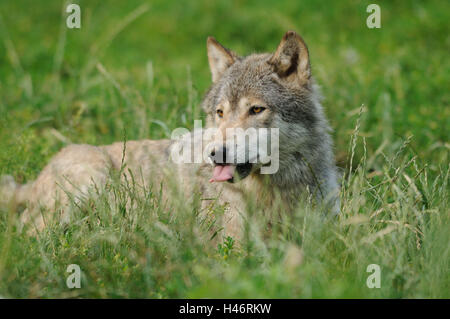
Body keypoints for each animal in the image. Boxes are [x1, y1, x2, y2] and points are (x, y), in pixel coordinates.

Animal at [0, 31, 338, 240]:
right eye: (220, 113)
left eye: (256, 109)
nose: (215, 155)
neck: (278, 193)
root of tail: (36, 178)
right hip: (91, 176)